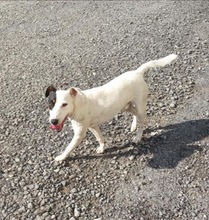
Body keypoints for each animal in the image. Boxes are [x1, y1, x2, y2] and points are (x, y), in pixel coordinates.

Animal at [45, 53, 177, 161]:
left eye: (64, 104)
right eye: (51, 103)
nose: (53, 121)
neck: (78, 103)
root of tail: (137, 72)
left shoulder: (79, 134)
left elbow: (68, 148)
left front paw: (61, 157)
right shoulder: (93, 126)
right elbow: (100, 137)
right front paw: (102, 148)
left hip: (140, 104)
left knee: (141, 121)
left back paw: (138, 136)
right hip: (126, 106)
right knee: (135, 114)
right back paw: (133, 126)